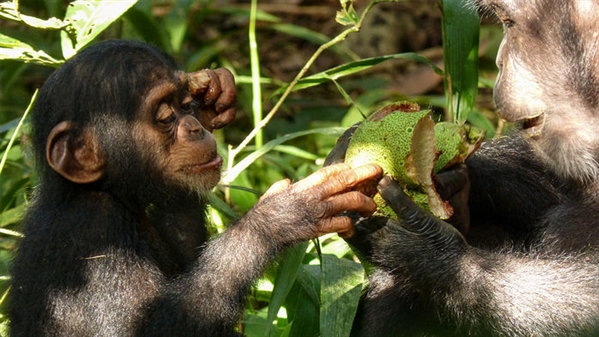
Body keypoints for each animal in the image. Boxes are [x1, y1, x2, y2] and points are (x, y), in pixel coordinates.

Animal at [8, 40, 384, 336]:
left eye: (184, 105)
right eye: (165, 117)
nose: (194, 126)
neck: (108, 191)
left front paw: (212, 90)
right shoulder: (95, 233)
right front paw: (280, 217)